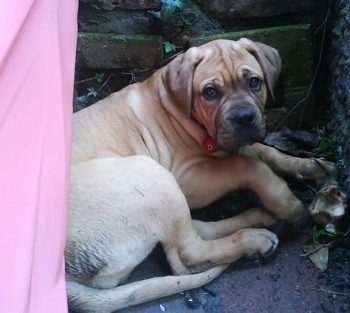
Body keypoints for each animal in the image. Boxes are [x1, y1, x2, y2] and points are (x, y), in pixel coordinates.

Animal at [67, 38, 334, 310]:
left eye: (254, 82)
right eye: (210, 92)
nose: (244, 118)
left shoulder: (238, 144)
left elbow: (265, 151)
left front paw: (312, 166)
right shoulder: (186, 177)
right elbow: (246, 165)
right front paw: (286, 202)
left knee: (190, 232)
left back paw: (258, 218)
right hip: (152, 175)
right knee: (186, 256)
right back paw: (254, 239)